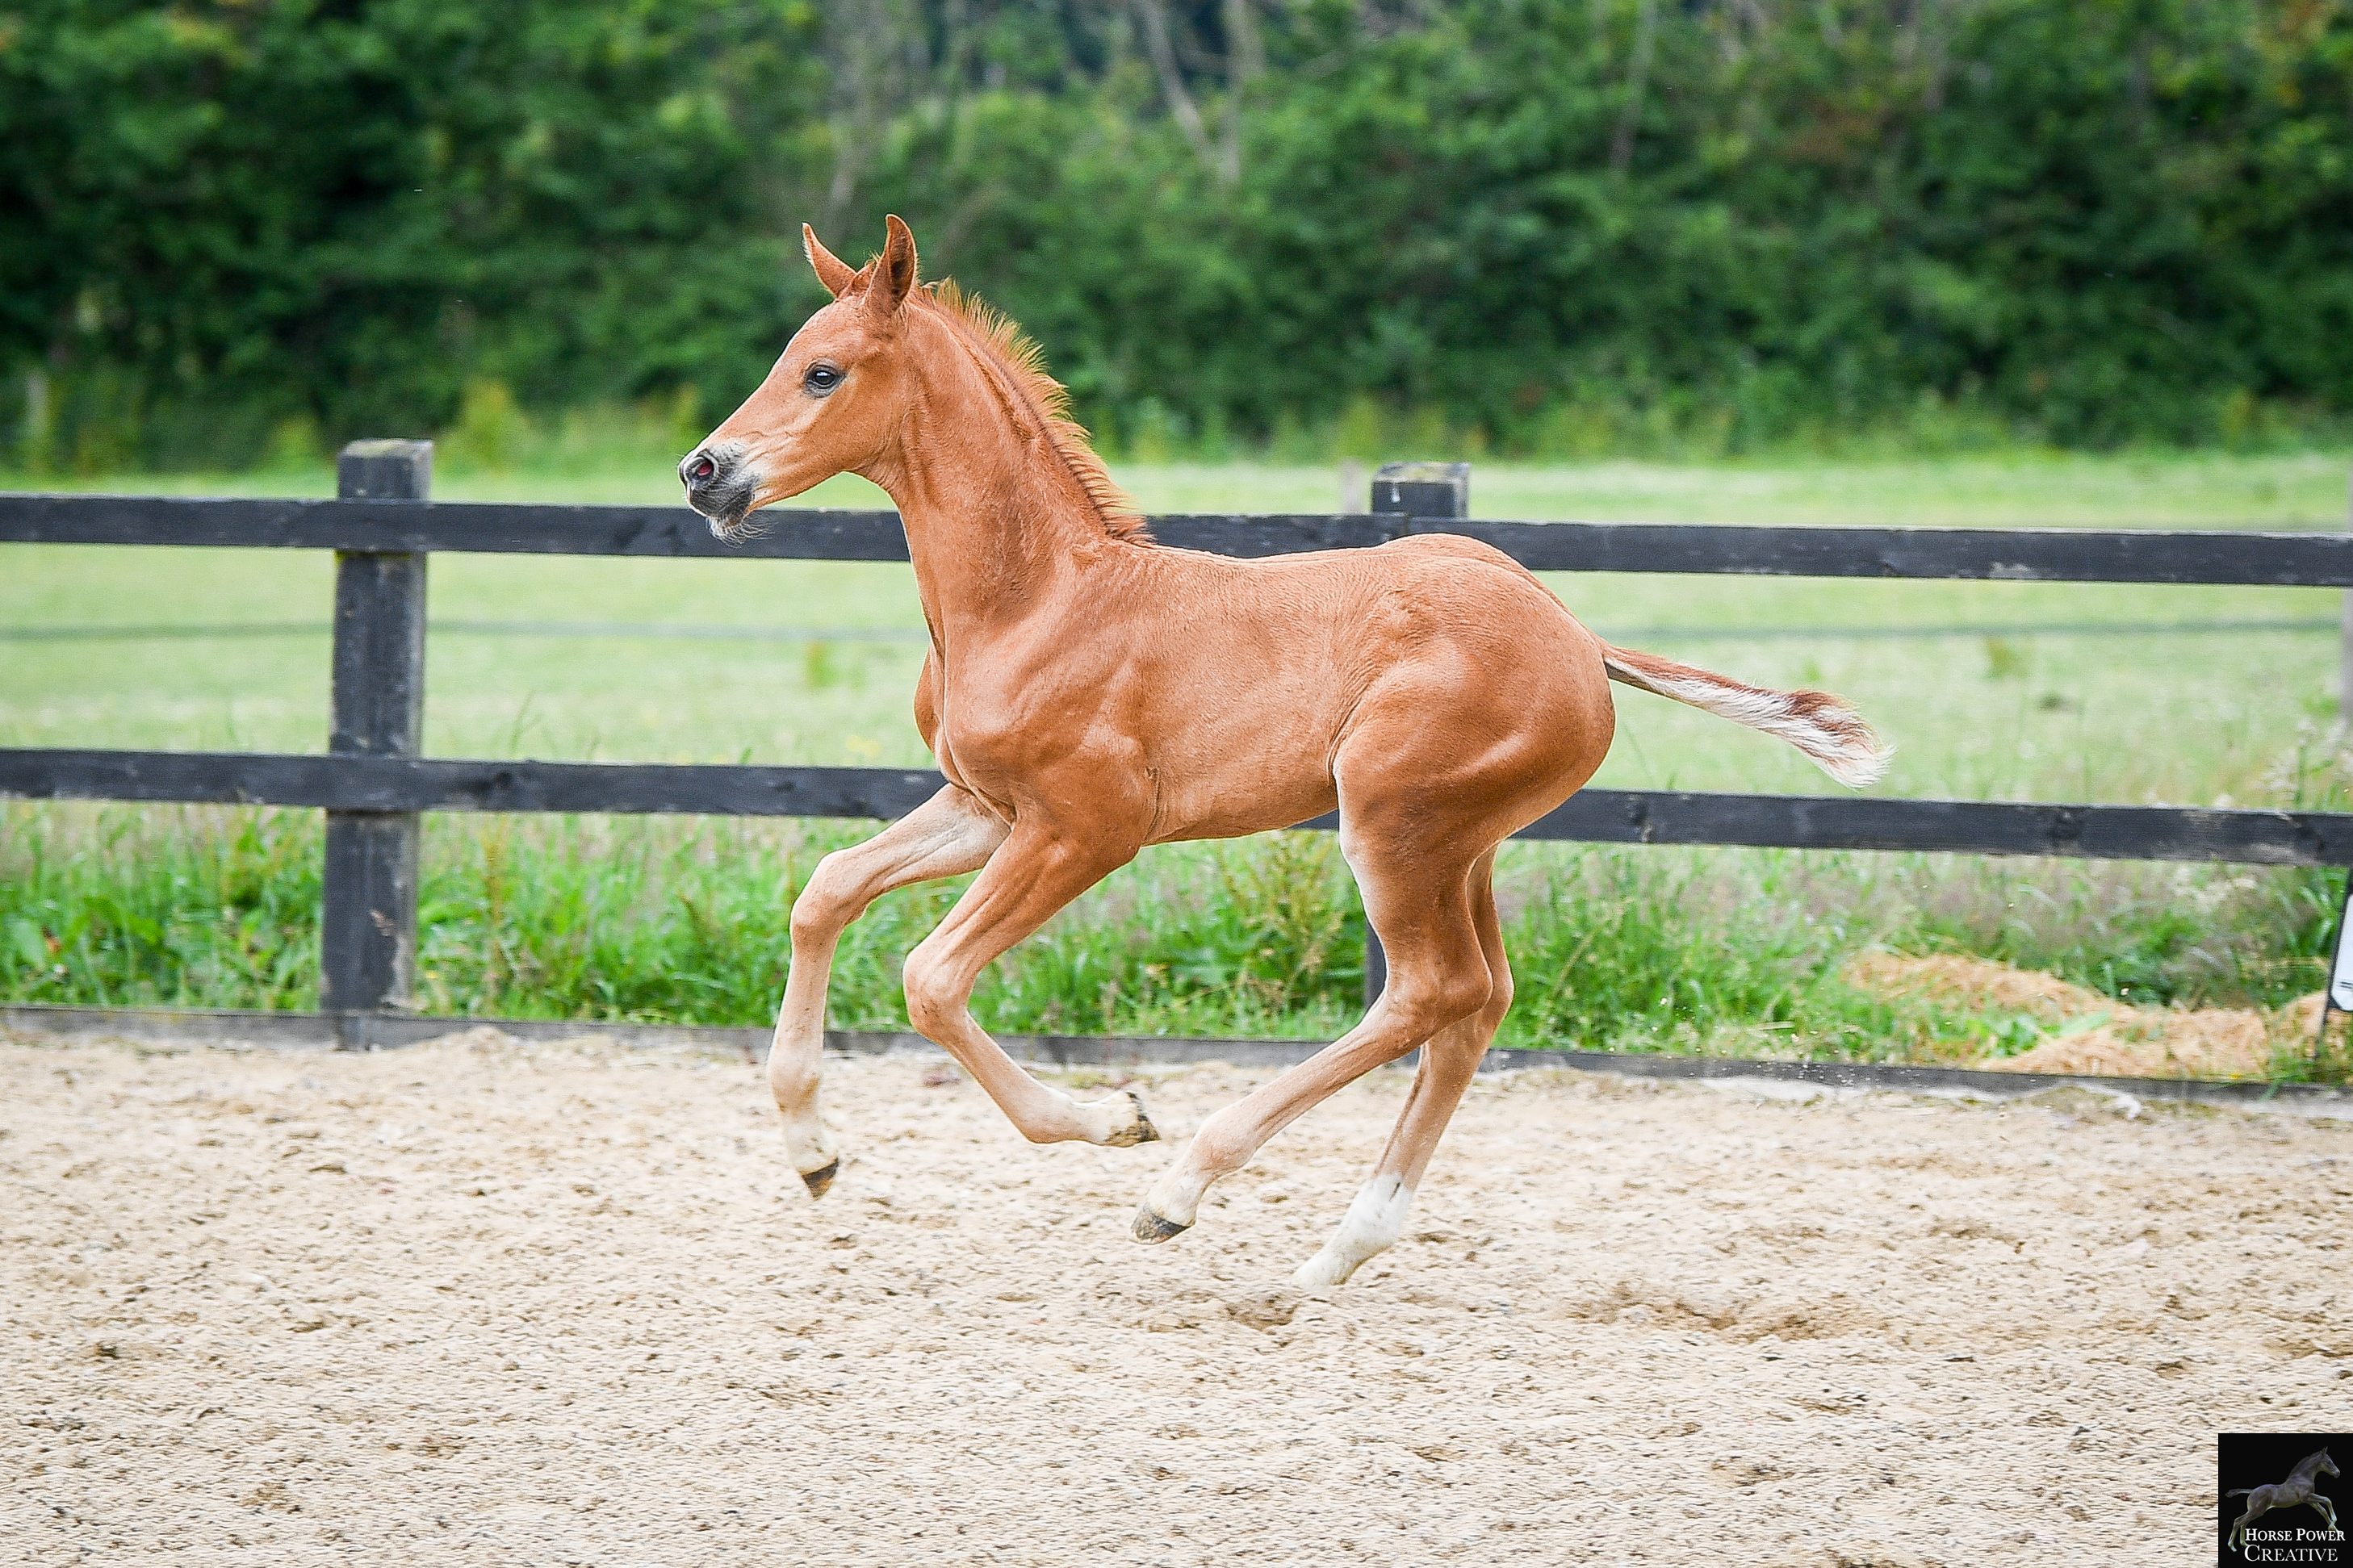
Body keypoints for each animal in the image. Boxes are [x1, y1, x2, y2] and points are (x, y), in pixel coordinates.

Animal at [678, 215, 1889, 1288]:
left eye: (823, 373)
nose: (703, 471)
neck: (1039, 600)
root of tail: (1578, 639)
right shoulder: (983, 806)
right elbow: (826, 889)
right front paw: (814, 1153)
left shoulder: (1085, 827)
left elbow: (930, 978)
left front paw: (1116, 1117)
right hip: (1463, 846)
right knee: (1476, 1004)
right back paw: (1337, 1251)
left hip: (1391, 824)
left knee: (1428, 992)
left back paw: (1179, 1189)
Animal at [2229, 1448, 2339, 1553]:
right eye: (2328, 1461)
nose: (2338, 1473)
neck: (2302, 1478)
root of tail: (2252, 1491)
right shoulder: (2306, 1497)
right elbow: (2327, 1500)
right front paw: (2333, 1524)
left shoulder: (2308, 1500)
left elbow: (2323, 1511)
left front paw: (2336, 1531)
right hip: (2256, 1511)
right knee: (2238, 1521)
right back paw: (2232, 1546)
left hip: (2254, 1511)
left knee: (2243, 1523)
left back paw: (2244, 1544)